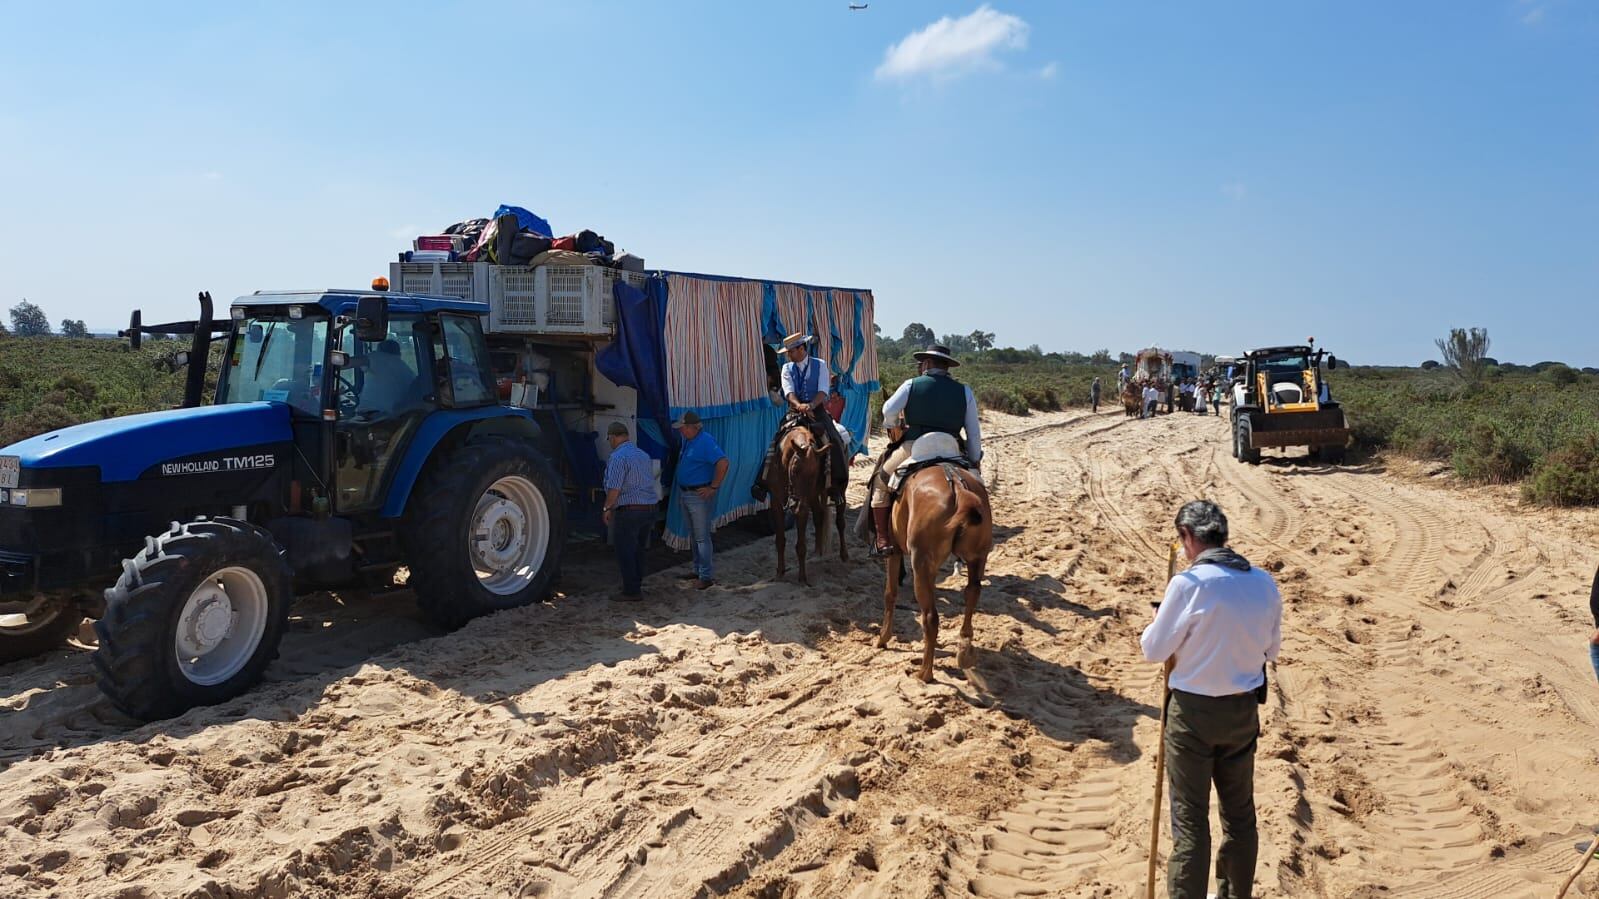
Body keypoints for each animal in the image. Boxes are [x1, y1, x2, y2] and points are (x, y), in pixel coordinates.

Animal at [770, 419, 850, 582]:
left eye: (815, 473)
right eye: (795, 469)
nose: (795, 502)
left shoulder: (803, 506)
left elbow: (801, 545)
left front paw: (802, 577)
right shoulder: (776, 502)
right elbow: (780, 539)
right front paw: (780, 572)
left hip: (840, 490)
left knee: (840, 522)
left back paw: (843, 554)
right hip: (813, 496)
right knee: (819, 516)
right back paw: (817, 553)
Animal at [882, 460, 991, 678]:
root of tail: (959, 489)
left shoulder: (894, 550)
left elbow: (890, 592)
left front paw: (883, 637)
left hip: (921, 563)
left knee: (931, 617)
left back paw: (925, 672)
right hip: (977, 557)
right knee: (973, 591)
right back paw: (965, 646)